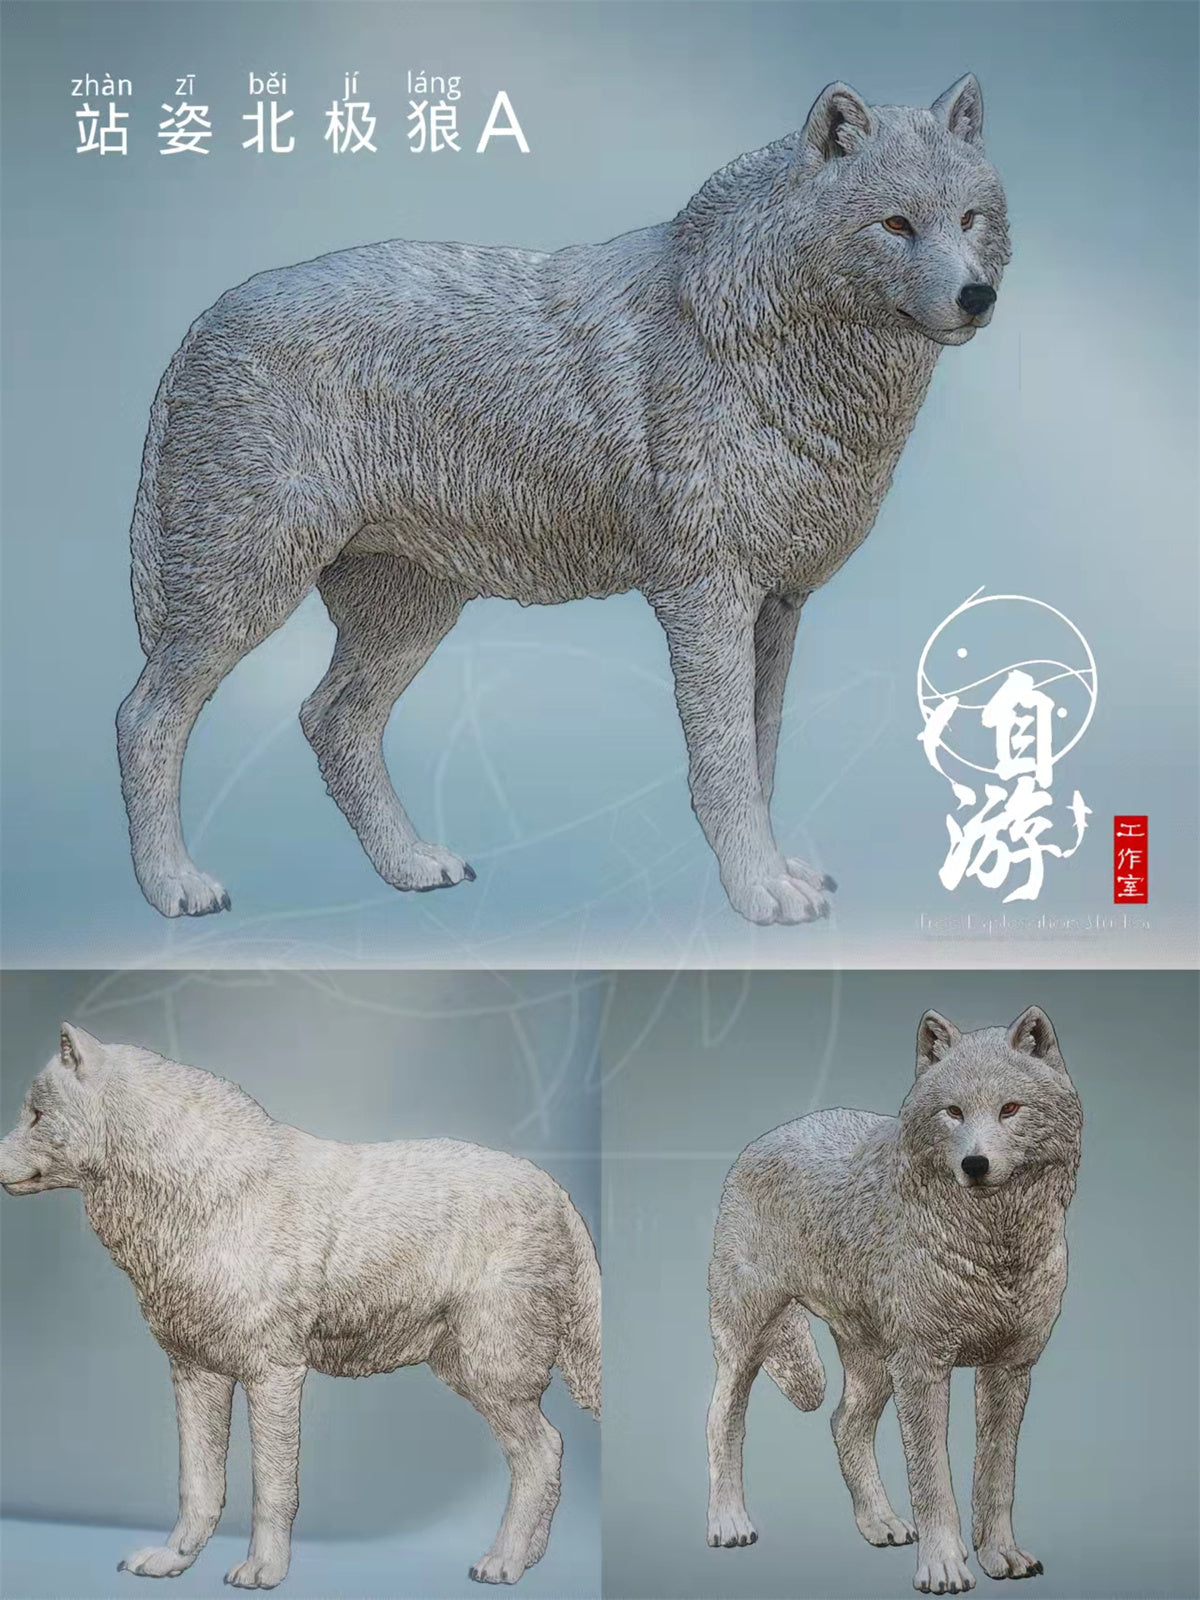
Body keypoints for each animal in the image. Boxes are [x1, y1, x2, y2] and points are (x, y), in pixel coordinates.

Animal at [0, 1027, 600, 1589]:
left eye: (35, 1115)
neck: (206, 1197)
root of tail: (557, 1193)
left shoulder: (274, 1376)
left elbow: (272, 1489)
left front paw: (264, 1571)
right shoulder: (196, 1372)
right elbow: (198, 1486)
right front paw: (174, 1560)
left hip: (489, 1373)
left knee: (543, 1453)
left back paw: (504, 1562)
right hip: (466, 1370)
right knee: (550, 1454)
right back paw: (529, 1559)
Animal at [117, 74, 1009, 925]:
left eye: (969, 220)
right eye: (896, 225)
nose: (979, 297)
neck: (764, 346)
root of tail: (200, 326)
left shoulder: (778, 605)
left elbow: (763, 759)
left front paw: (778, 873)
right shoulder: (708, 599)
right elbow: (724, 767)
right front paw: (760, 892)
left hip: (408, 618)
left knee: (329, 722)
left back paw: (408, 865)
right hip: (247, 595)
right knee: (144, 721)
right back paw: (174, 887)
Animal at [706, 1006, 1081, 1594]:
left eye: (1010, 1109)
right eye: (954, 1112)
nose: (975, 1164)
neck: (993, 1250)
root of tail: (763, 1139)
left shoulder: (1009, 1370)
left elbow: (997, 1478)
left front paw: (1000, 1555)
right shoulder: (924, 1367)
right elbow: (933, 1482)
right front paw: (944, 1566)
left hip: (876, 1363)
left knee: (843, 1424)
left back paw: (879, 1523)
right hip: (749, 1343)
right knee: (721, 1420)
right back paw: (729, 1523)